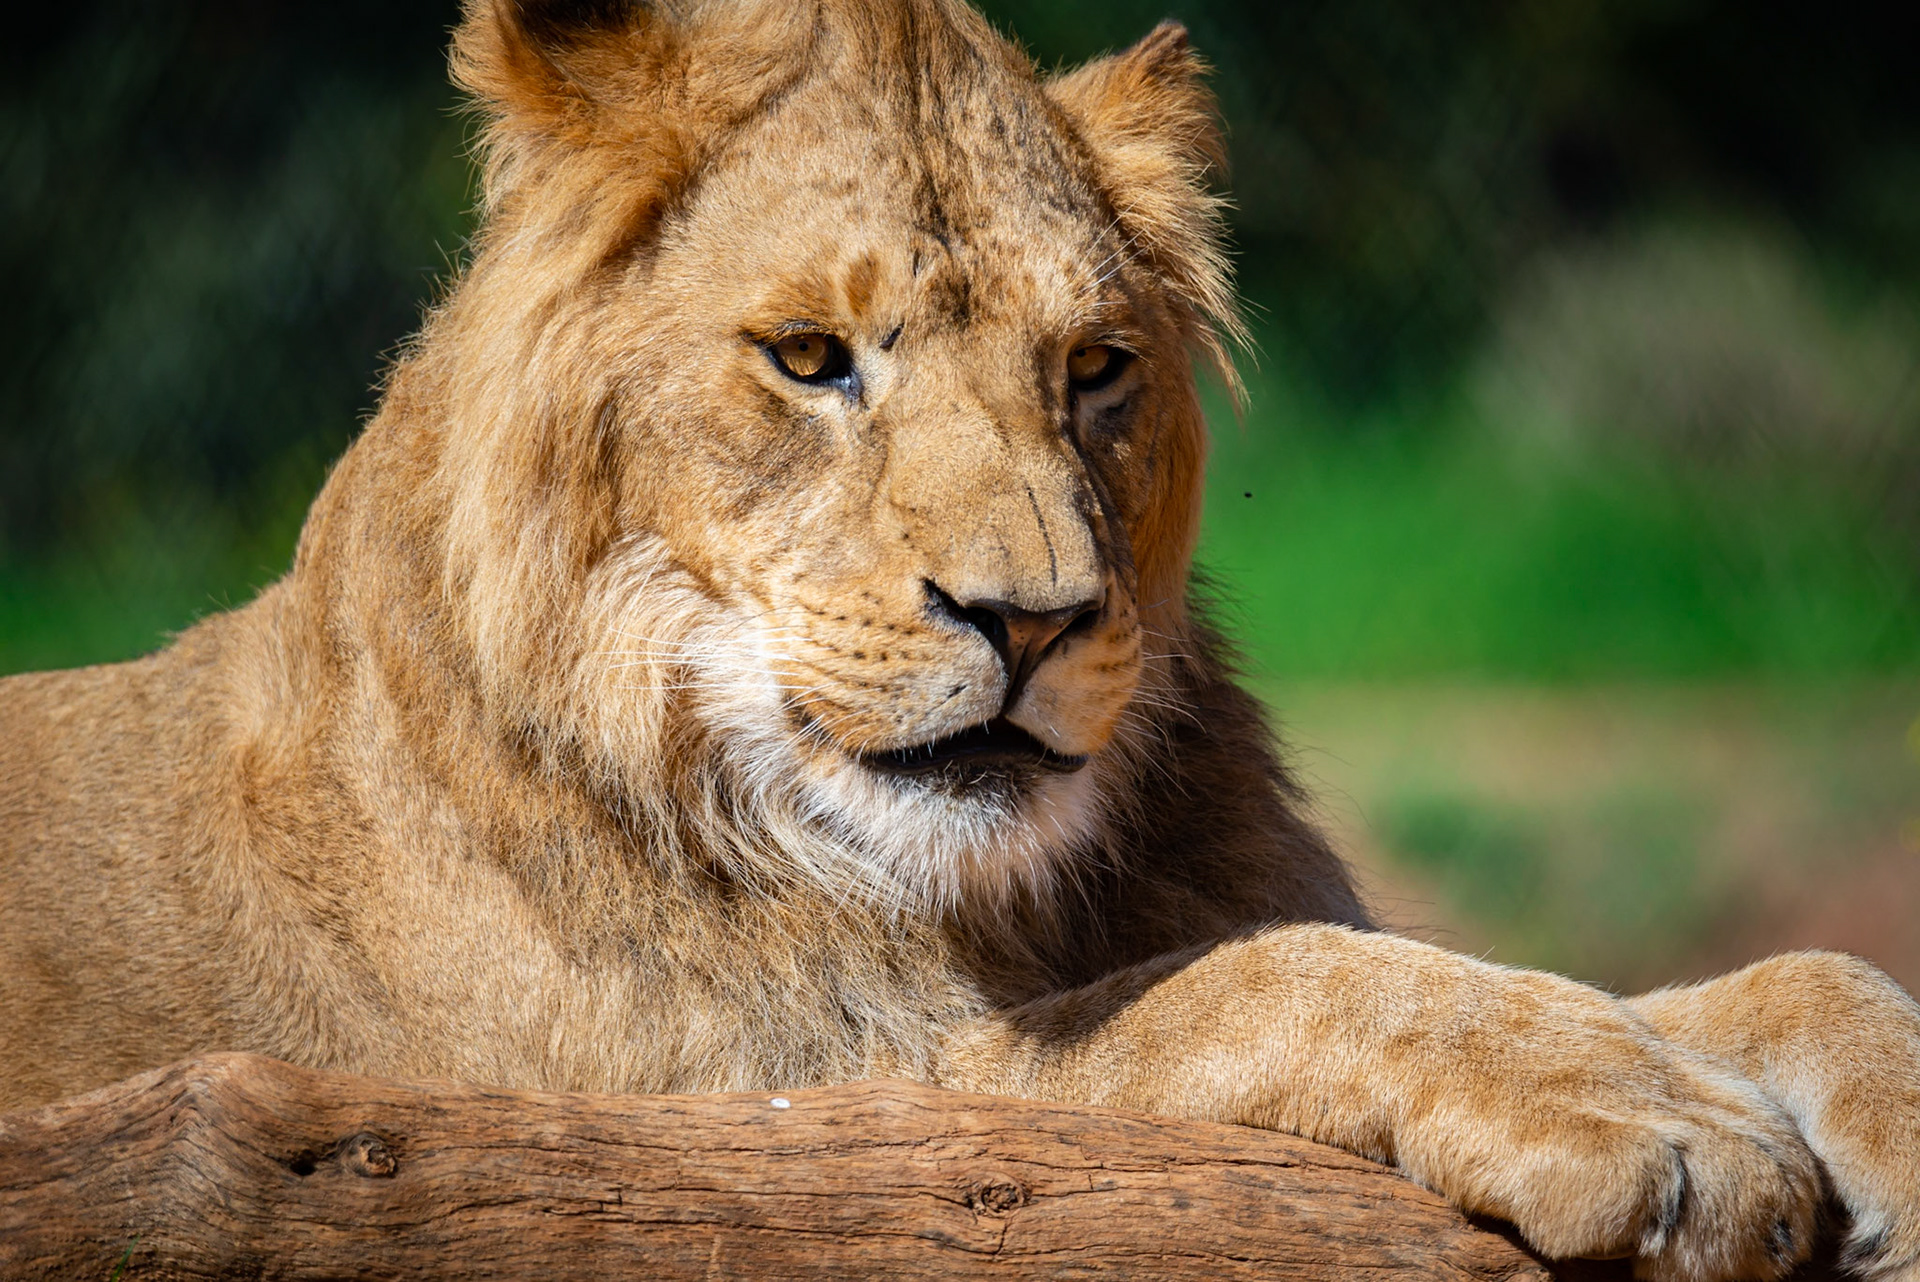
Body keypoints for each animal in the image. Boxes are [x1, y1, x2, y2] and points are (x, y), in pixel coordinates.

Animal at [2, 1, 1917, 1276]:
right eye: (808, 358)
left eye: (1096, 369)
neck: (1002, 896)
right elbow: (1249, 981)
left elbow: (1790, 972)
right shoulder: (771, 1124)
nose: (1034, 615)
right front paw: (1656, 1122)